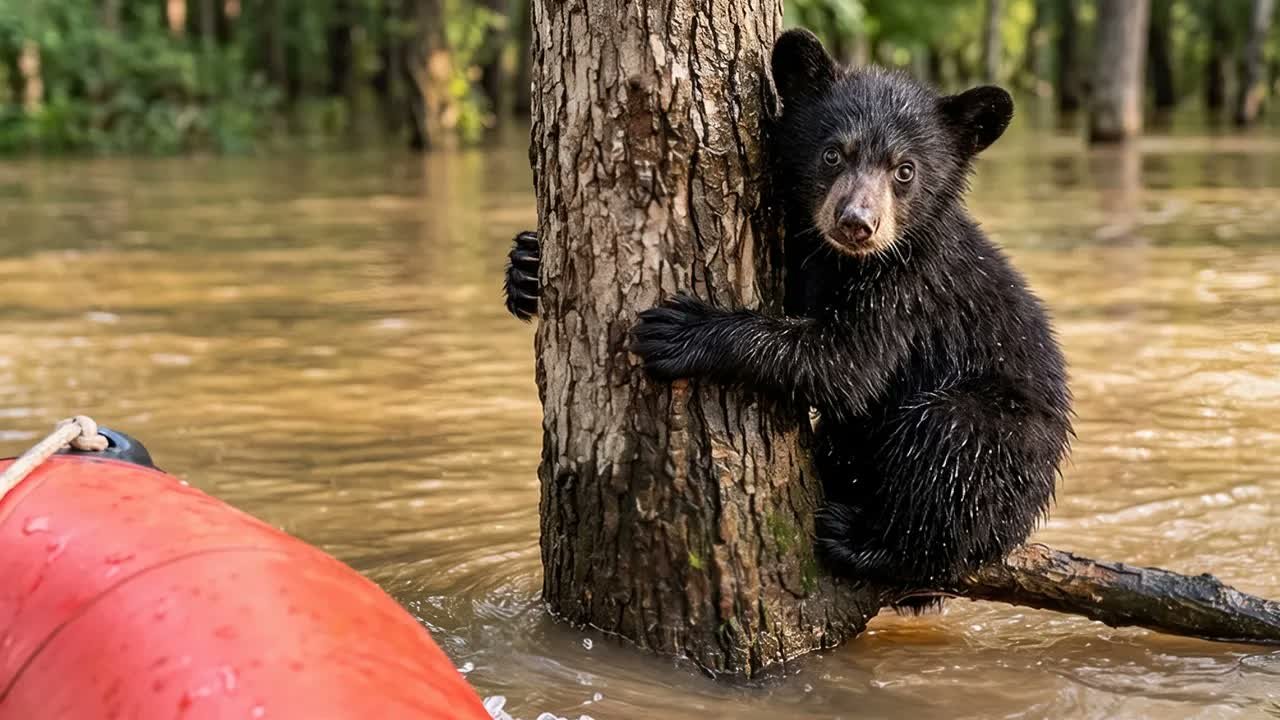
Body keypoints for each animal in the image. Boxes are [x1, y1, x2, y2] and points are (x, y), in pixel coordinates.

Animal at [502, 29, 1073, 599]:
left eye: (905, 170)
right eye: (833, 154)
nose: (856, 222)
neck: (844, 260)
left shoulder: (908, 288)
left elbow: (848, 365)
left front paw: (683, 330)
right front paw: (527, 267)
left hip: (1008, 441)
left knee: (949, 444)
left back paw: (869, 543)